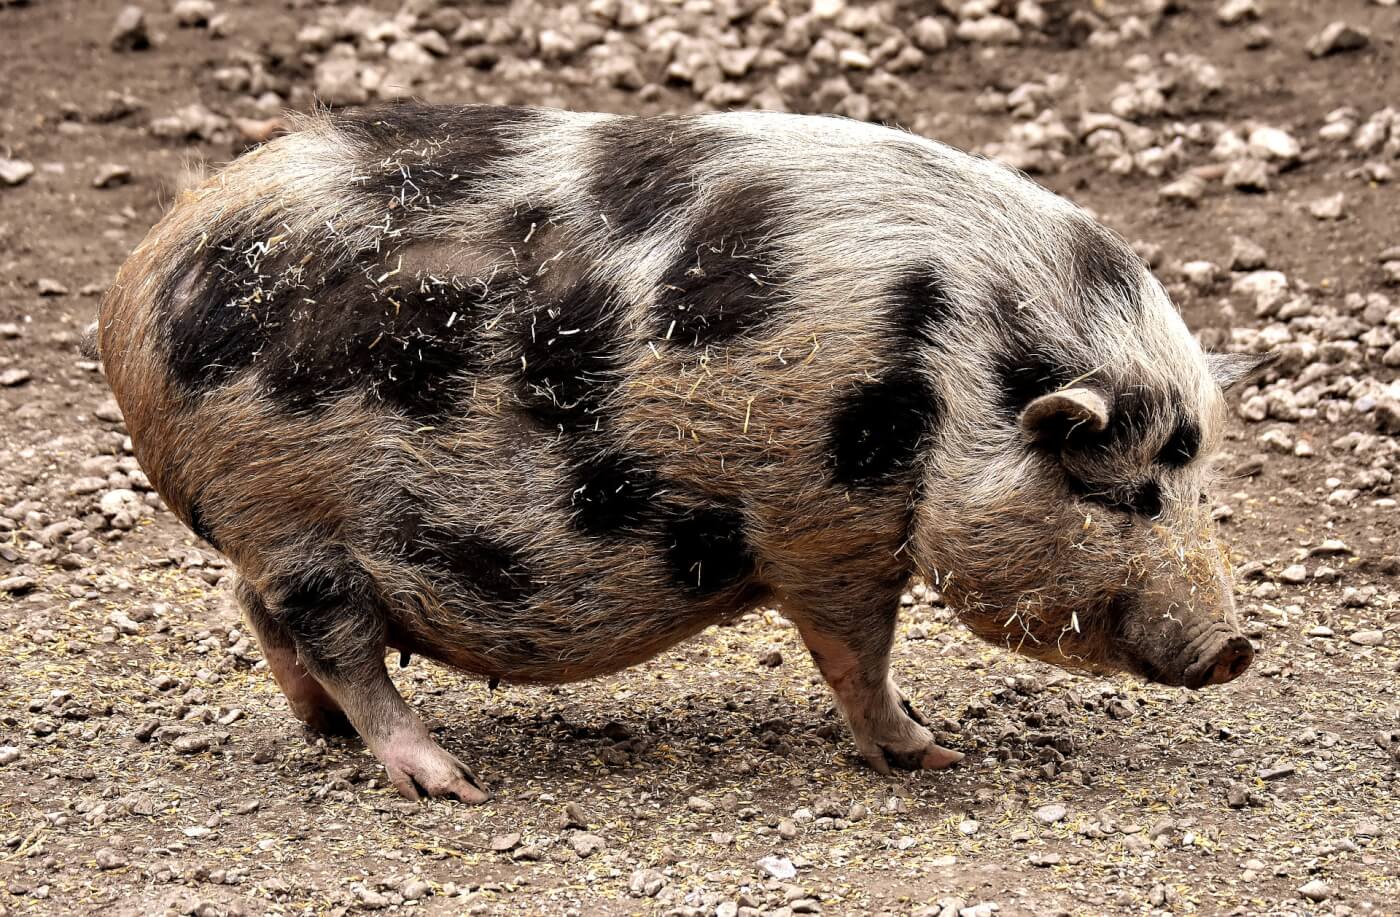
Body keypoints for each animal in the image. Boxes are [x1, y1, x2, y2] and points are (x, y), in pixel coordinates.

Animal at [96, 104, 1268, 803]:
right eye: (1131, 491)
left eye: (1201, 481)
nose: (1235, 648)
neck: (949, 378)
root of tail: (135, 285)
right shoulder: (823, 523)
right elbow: (855, 651)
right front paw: (934, 753)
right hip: (290, 514)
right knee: (336, 638)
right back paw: (448, 777)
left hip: (271, 528)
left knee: (266, 616)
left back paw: (325, 735)